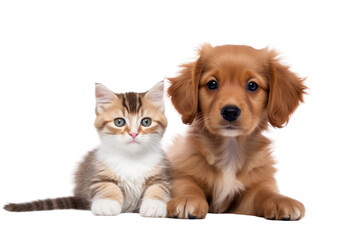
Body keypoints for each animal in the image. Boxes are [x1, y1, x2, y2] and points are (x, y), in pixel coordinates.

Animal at [3, 81, 170, 218]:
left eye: (146, 122)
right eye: (119, 122)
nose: (134, 134)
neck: (131, 157)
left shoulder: (162, 174)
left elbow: (158, 188)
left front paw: (154, 205)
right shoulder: (97, 173)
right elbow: (107, 186)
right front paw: (106, 203)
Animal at [167, 44, 306, 220]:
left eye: (252, 85)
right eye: (212, 84)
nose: (230, 112)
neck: (230, 149)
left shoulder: (248, 196)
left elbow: (264, 192)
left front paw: (280, 200)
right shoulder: (183, 170)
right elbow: (186, 184)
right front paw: (188, 198)